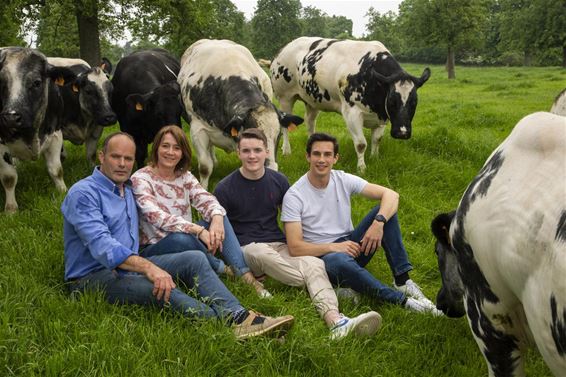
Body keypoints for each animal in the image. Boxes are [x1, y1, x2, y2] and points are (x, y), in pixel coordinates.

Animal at [0, 47, 75, 212]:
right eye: (0, 81)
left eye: (36, 82)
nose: (11, 117)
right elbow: (9, 177)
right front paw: (11, 209)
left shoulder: (55, 134)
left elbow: (56, 170)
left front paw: (62, 192)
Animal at [270, 36, 430, 171]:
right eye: (392, 101)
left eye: (414, 102)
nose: (402, 133)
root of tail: (285, 48)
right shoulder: (352, 113)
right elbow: (361, 144)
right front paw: (362, 168)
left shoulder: (382, 115)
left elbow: (377, 139)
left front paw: (375, 158)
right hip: (285, 97)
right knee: (285, 125)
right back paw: (286, 150)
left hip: (313, 99)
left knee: (310, 122)